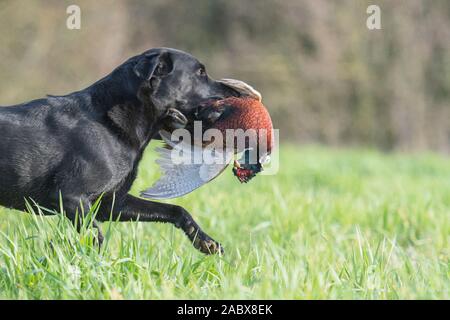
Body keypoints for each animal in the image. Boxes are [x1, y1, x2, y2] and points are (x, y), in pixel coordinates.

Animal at [0, 47, 239, 254]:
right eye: (200, 73)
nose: (236, 90)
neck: (111, 121)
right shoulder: (70, 196)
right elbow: (95, 237)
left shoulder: (110, 204)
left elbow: (176, 210)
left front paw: (206, 241)